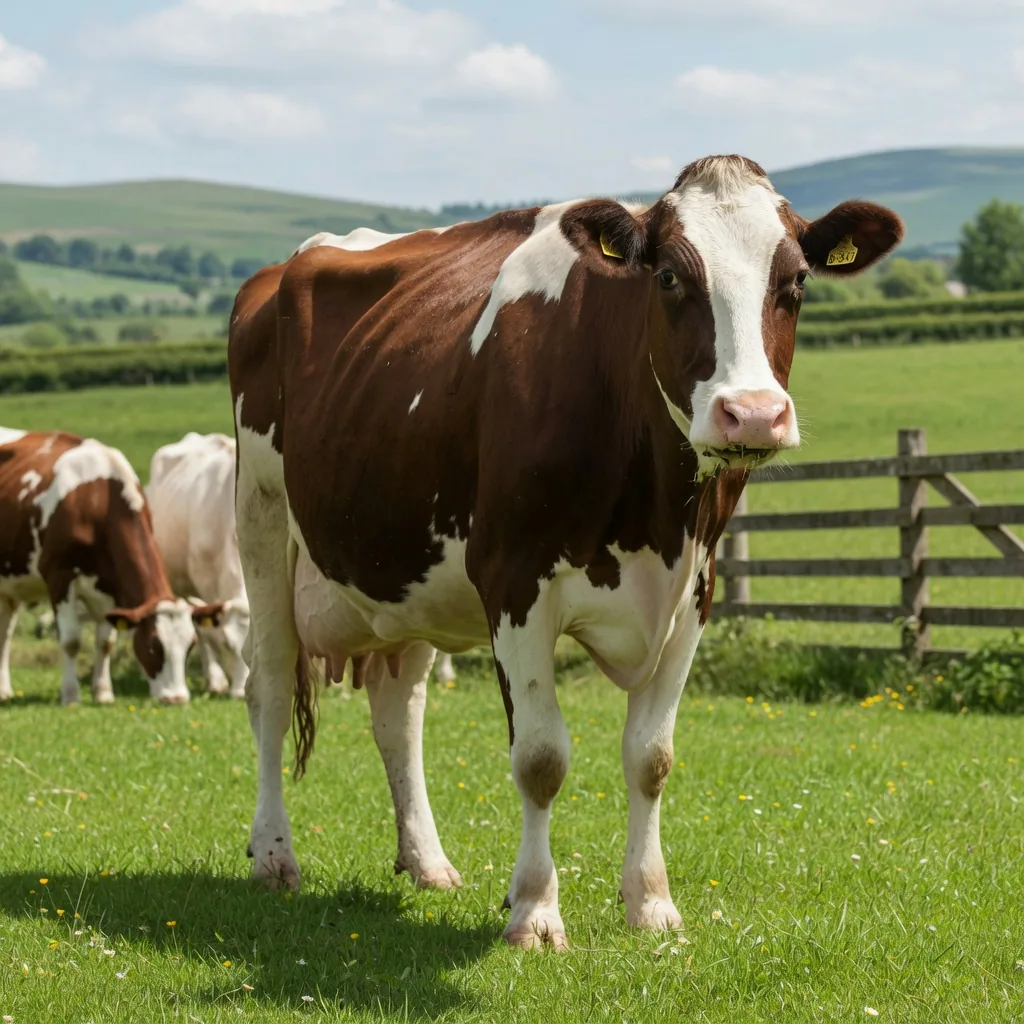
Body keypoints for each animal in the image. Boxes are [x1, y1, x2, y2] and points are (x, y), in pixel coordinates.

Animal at [0, 428, 220, 704]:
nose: (176, 698)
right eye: (153, 645)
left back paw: (4, 690)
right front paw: (71, 696)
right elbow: (71, 640)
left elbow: (106, 641)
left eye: (190, 644)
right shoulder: (59, 576)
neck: (96, 499)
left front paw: (103, 693)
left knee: (4, 633)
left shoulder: (110, 585)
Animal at [229, 155, 902, 949]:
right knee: (270, 688)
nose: (754, 415)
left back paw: (426, 861)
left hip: (403, 570)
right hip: (261, 518)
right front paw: (534, 912)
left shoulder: (692, 595)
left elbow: (652, 758)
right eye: (668, 276)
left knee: (398, 712)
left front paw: (651, 903)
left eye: (795, 281)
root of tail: (281, 269)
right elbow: (541, 758)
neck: (652, 508)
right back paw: (274, 855)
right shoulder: (514, 583)